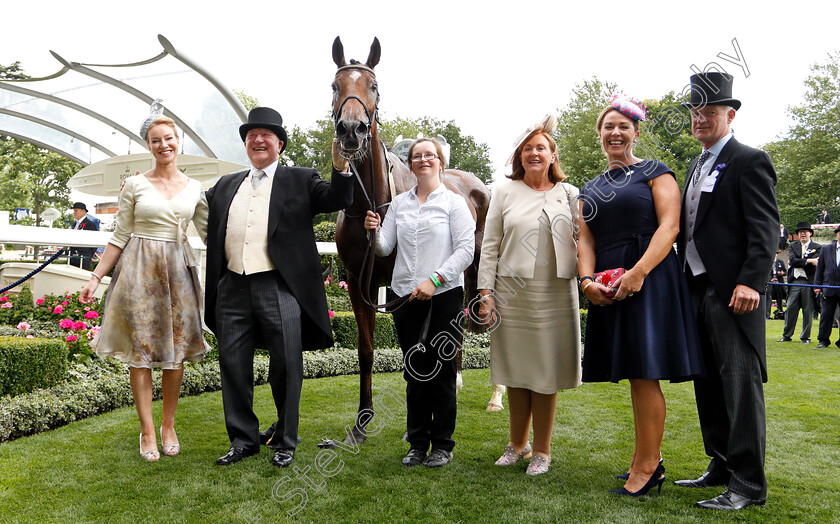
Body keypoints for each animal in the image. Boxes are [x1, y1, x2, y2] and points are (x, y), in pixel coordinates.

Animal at [332, 36, 492, 444]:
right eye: (335, 85)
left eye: (373, 85)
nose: (351, 130)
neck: (371, 202)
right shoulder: (359, 282)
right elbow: (366, 350)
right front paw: (362, 423)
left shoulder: (400, 285)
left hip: (478, 267)